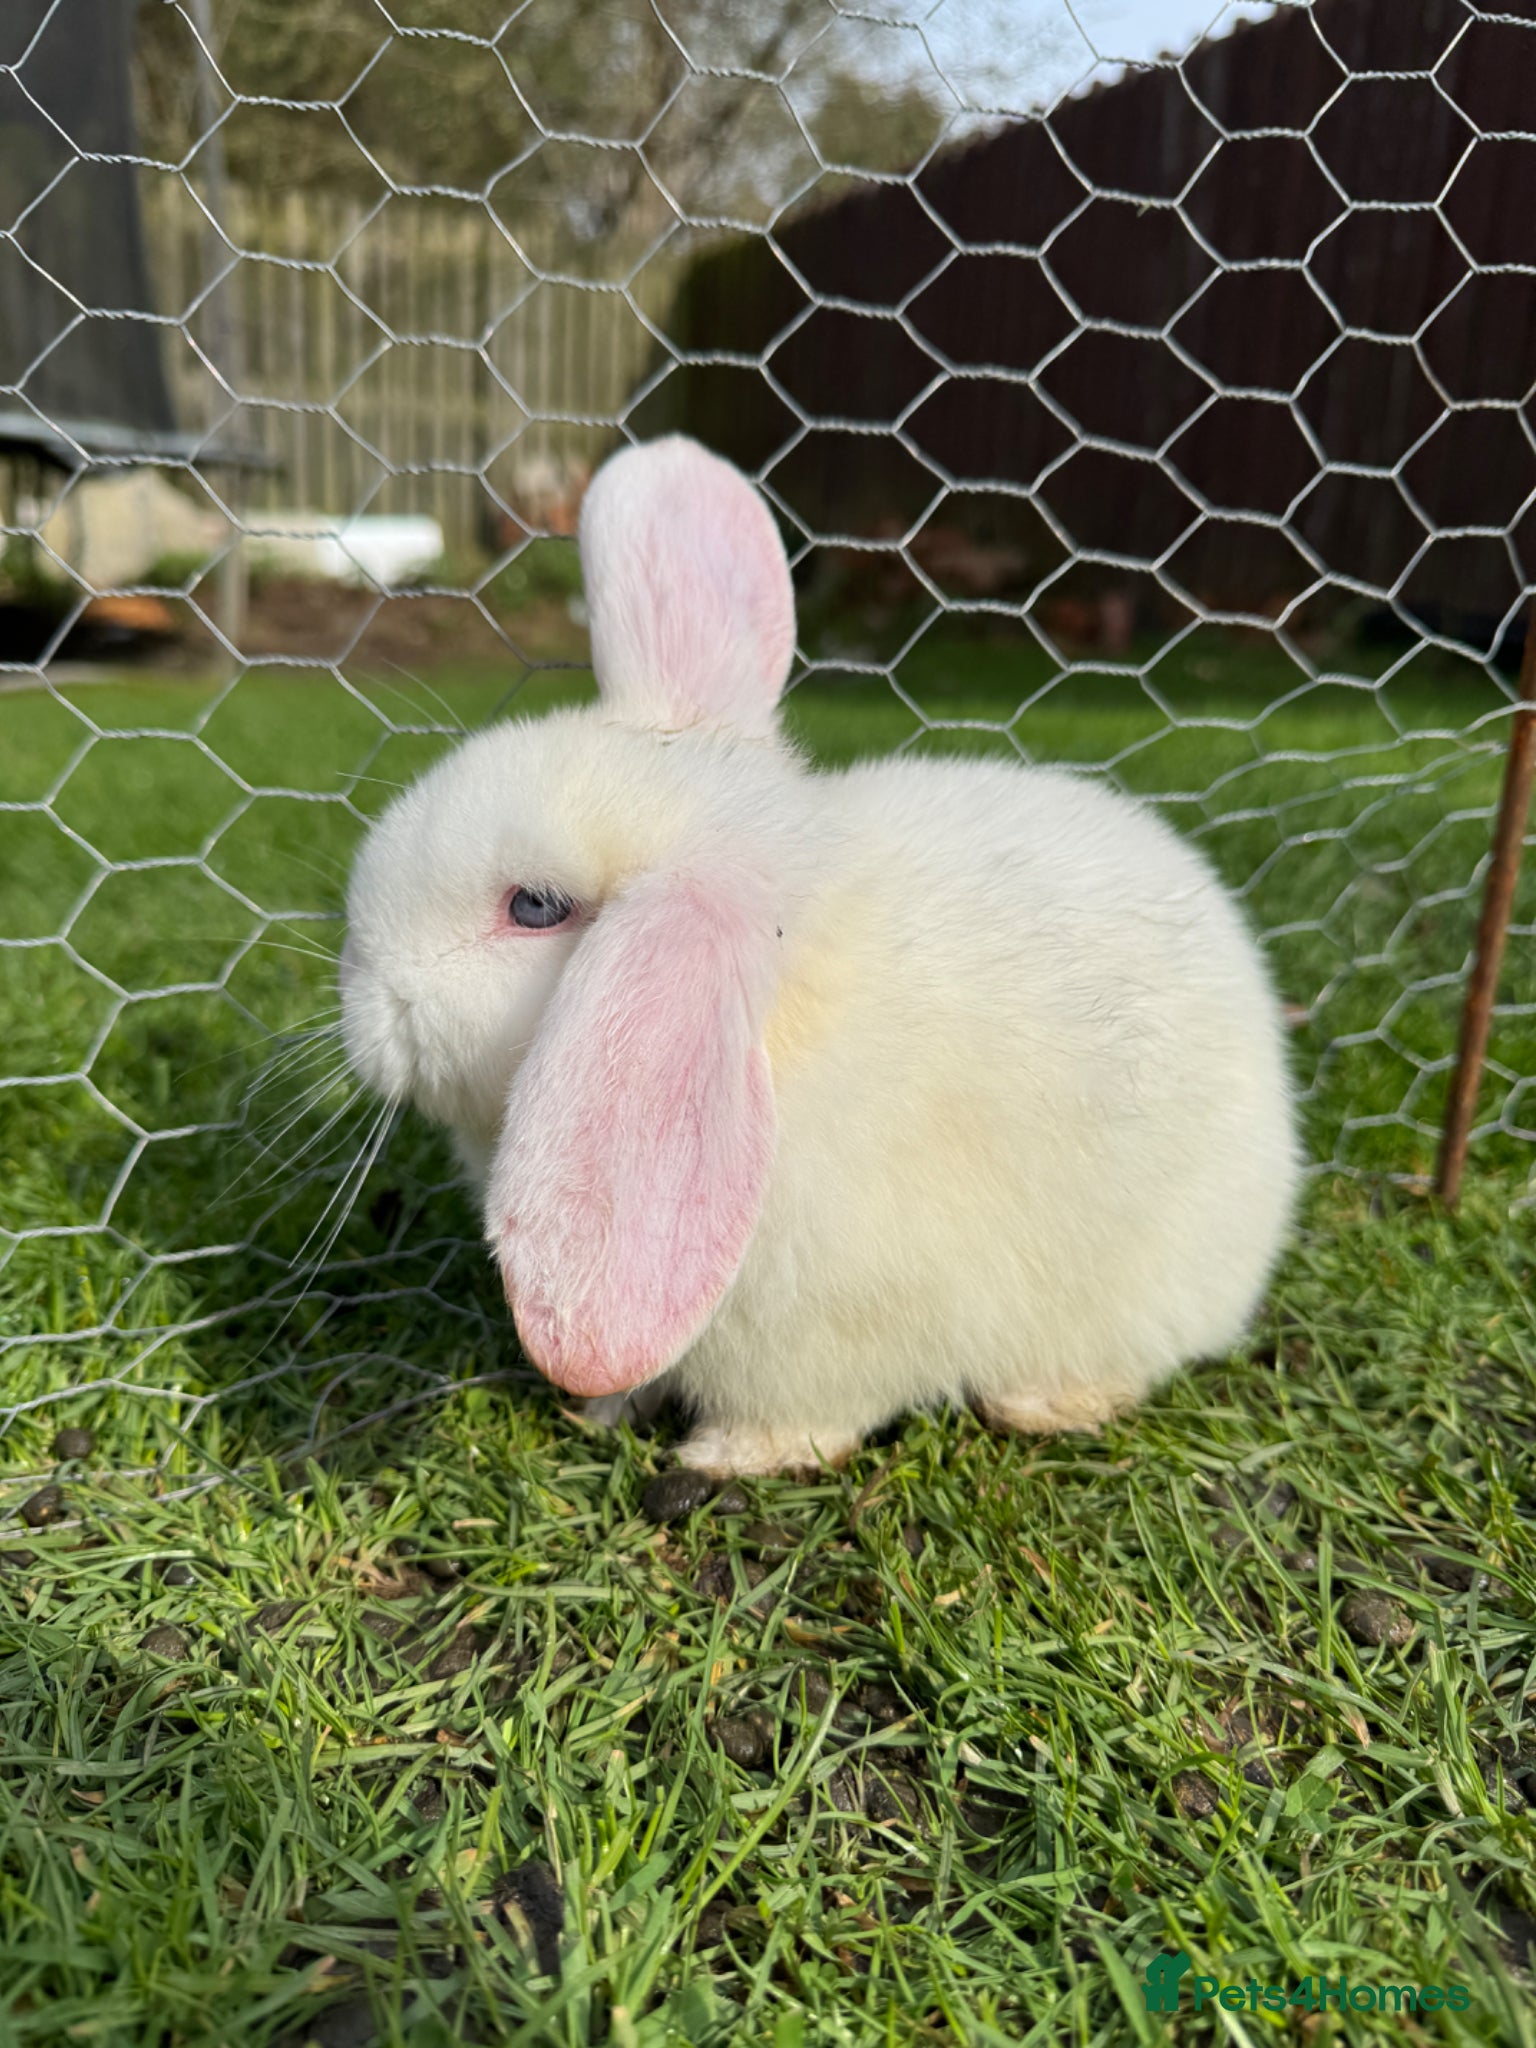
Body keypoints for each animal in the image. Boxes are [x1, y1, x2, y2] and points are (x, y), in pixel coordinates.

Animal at [340, 434, 1300, 1477]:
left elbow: (805, 1420)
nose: (361, 1007)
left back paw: (1046, 1401)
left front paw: (719, 1460)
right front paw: (600, 1410)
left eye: (535, 907)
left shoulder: (823, 1349)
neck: (779, 1004)